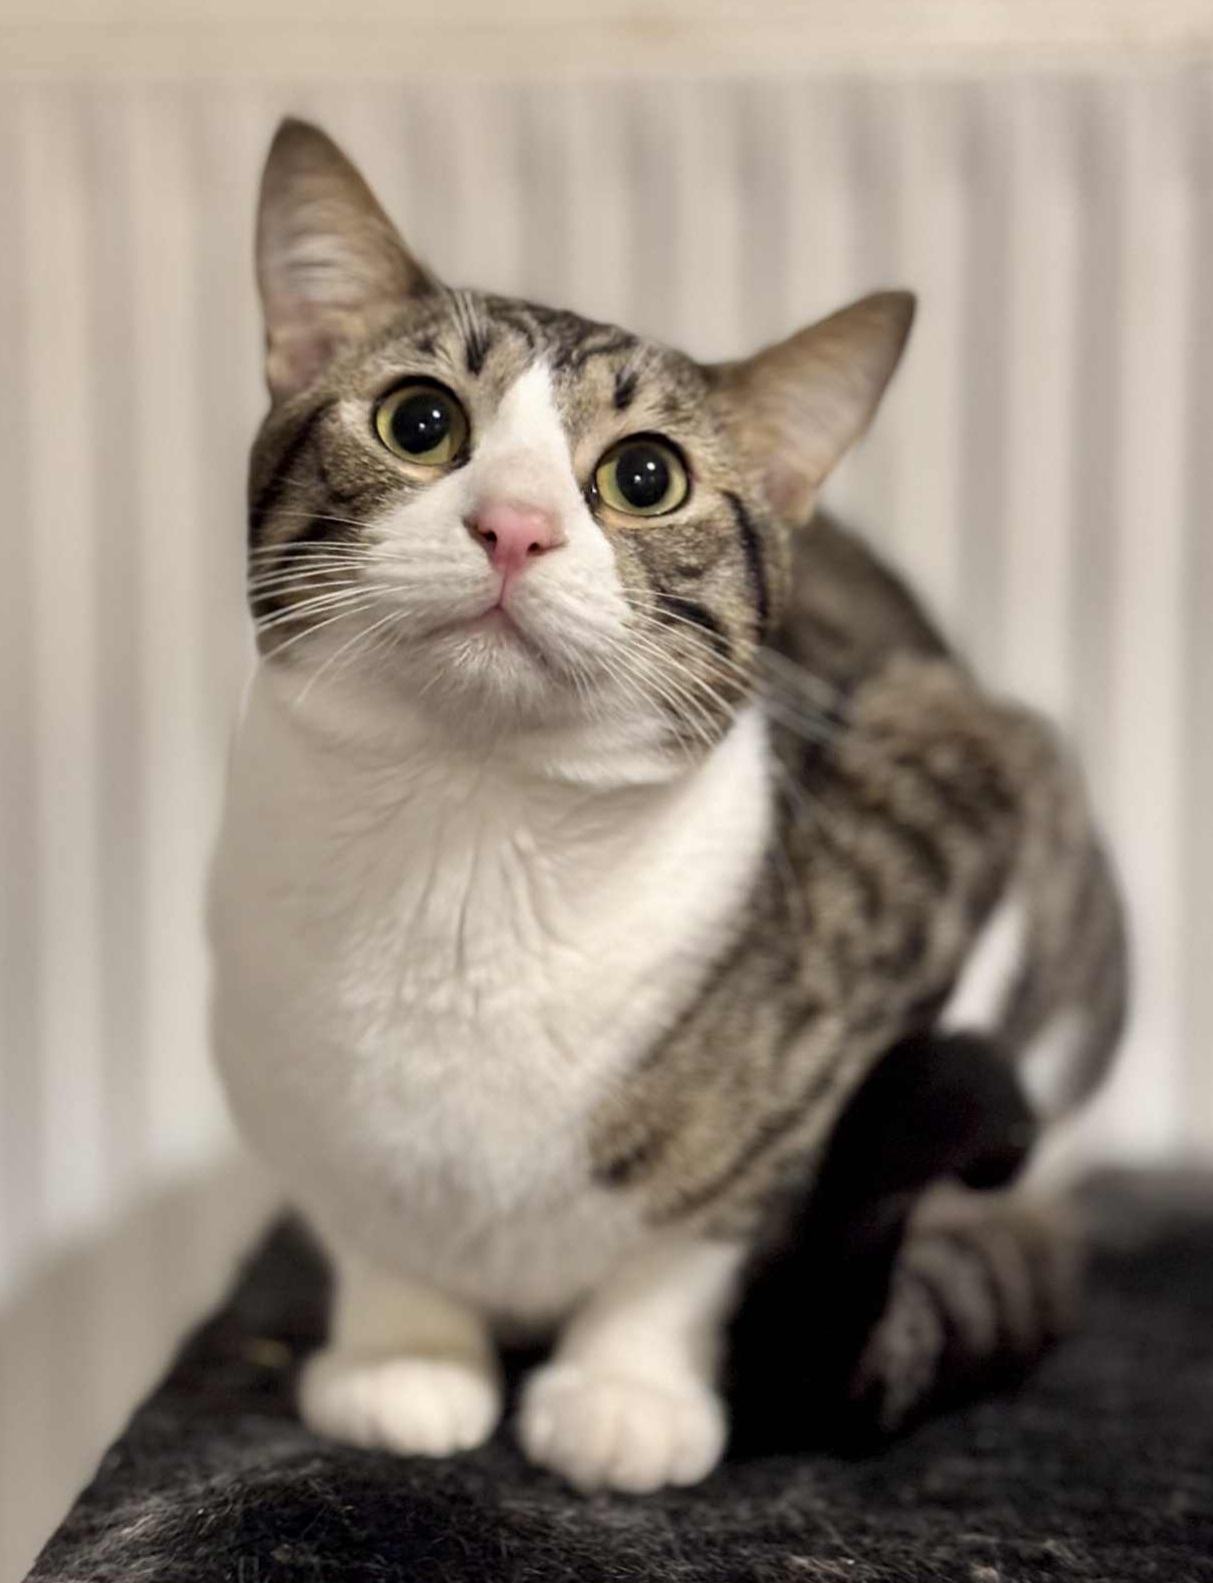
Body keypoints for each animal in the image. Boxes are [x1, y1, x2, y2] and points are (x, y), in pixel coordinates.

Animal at [209, 118, 1127, 1494]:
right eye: (419, 420)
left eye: (645, 476)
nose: (514, 525)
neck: (468, 842)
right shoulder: (278, 1076)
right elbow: (365, 1218)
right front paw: (402, 1355)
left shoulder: (959, 787)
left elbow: (709, 1219)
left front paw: (624, 1388)